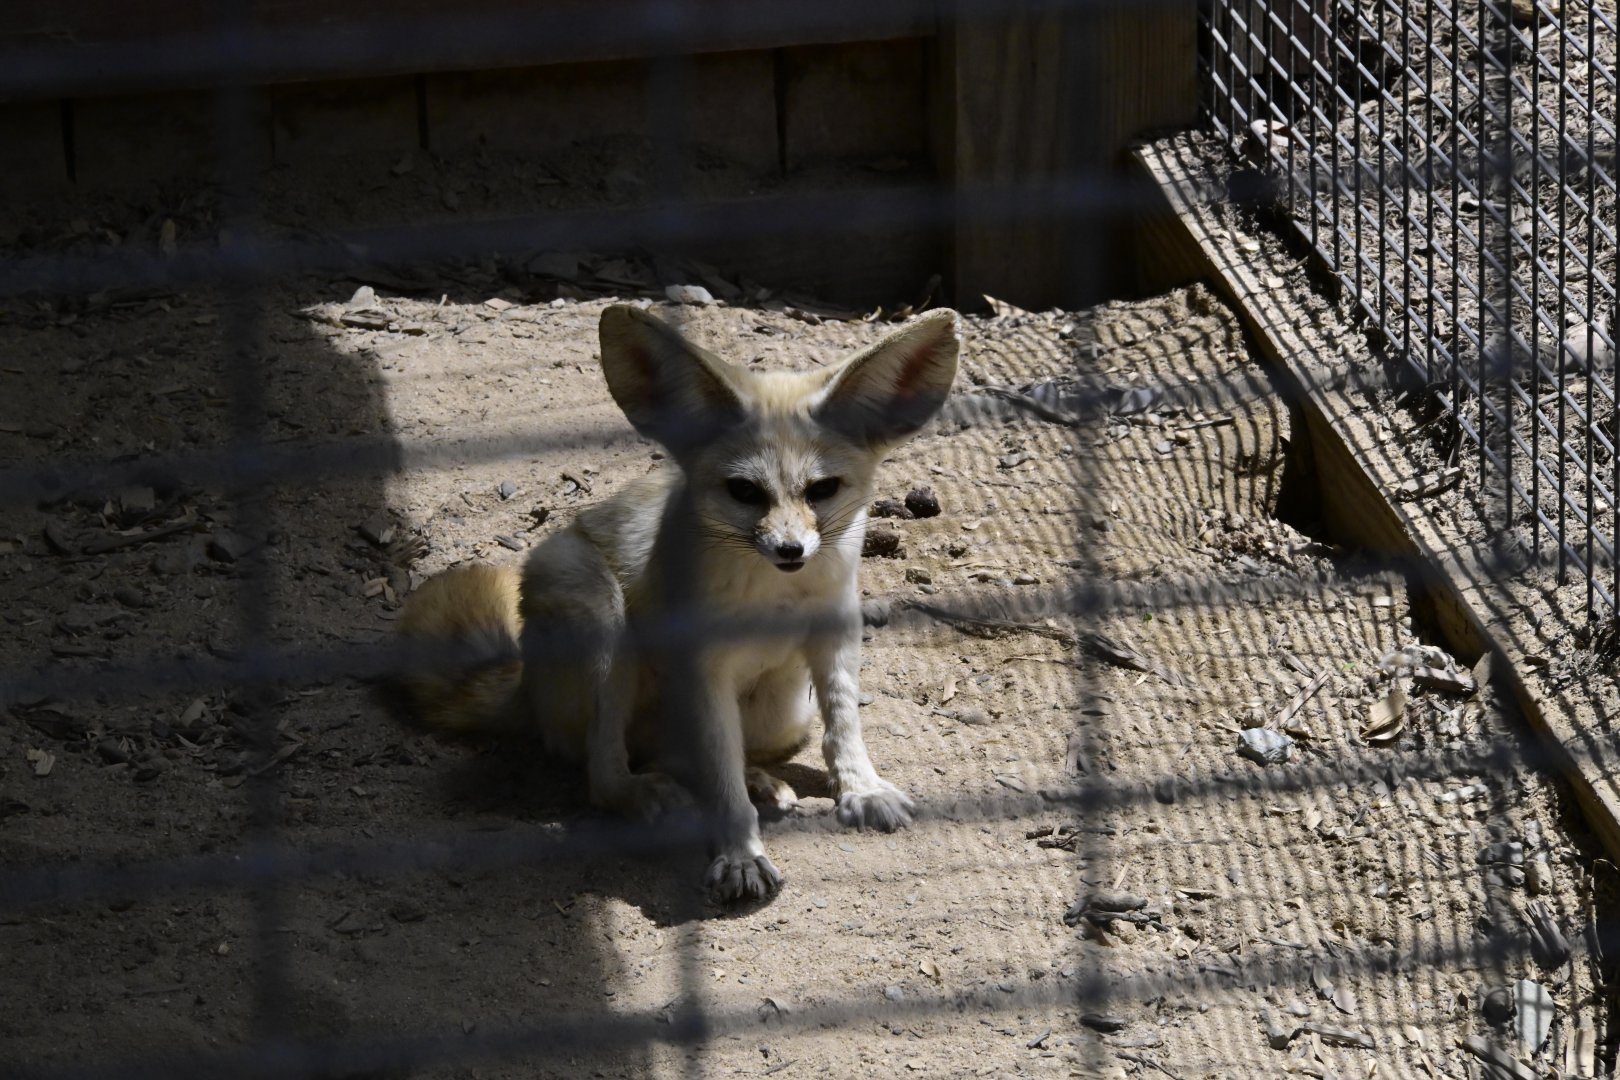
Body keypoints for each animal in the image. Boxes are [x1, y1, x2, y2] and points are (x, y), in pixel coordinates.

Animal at [390, 302, 961, 904]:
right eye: (744, 492)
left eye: (821, 490)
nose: (790, 550)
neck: (777, 594)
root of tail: (524, 687)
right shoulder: (701, 666)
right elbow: (719, 775)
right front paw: (741, 854)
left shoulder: (834, 636)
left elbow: (843, 724)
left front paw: (860, 788)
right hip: (596, 613)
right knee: (606, 774)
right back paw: (648, 794)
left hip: (785, 713)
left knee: (688, 755)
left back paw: (754, 779)